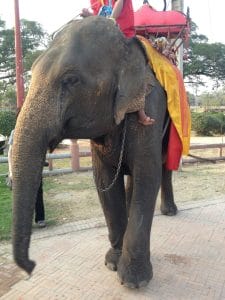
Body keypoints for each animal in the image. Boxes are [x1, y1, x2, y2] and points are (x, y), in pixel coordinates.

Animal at [12, 16, 178, 288]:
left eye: (71, 80)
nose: (30, 268)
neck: (126, 48)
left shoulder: (150, 107)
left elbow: (147, 173)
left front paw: (134, 281)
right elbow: (103, 180)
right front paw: (112, 262)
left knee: (165, 165)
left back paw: (170, 212)